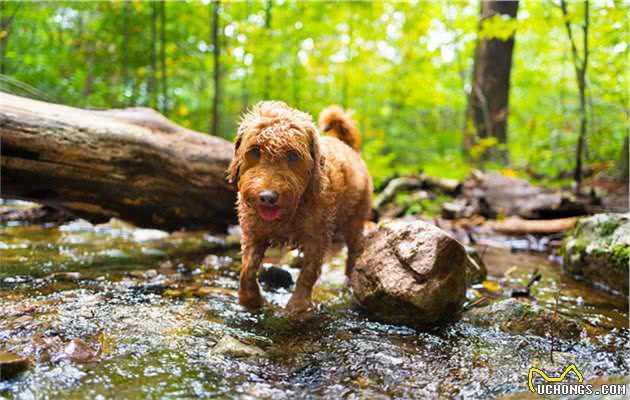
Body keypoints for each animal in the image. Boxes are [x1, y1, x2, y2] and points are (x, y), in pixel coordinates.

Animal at [228, 101, 372, 314]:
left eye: (293, 155)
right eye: (255, 151)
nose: (267, 197)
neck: (291, 211)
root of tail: (347, 146)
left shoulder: (317, 237)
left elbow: (308, 273)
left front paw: (298, 306)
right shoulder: (253, 234)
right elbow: (247, 268)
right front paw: (250, 299)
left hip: (354, 220)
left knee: (353, 252)